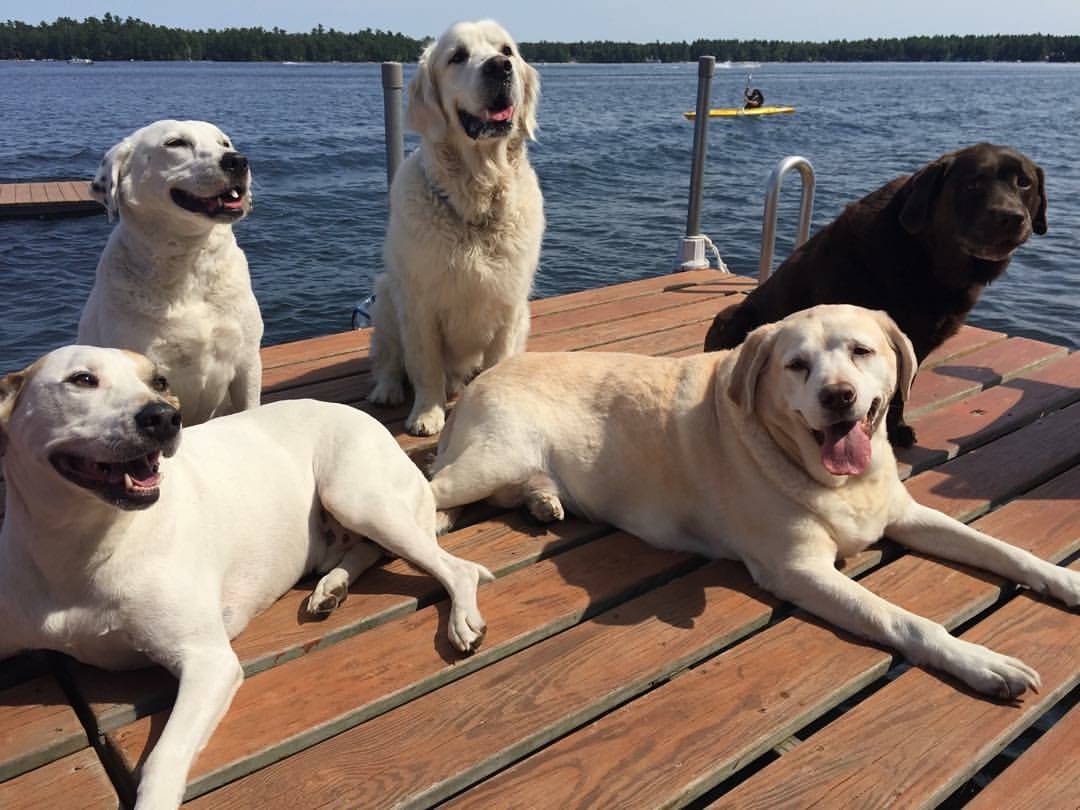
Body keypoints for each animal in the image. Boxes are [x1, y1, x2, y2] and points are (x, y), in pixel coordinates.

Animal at [1, 345, 494, 807]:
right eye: (82, 379)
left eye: (159, 381)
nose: (164, 417)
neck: (78, 542)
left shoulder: (209, 661)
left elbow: (163, 758)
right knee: (366, 550)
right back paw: (332, 587)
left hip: (356, 495)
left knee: (456, 567)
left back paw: (459, 619)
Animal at [369, 20, 544, 438]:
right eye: (457, 57)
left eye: (507, 50)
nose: (500, 67)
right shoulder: (419, 305)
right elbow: (425, 366)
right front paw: (427, 414)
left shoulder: (509, 303)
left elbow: (498, 363)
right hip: (385, 298)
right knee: (387, 356)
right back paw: (387, 389)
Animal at [429, 304, 1080, 699]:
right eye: (796, 365)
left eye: (862, 352)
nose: (839, 396)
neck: (839, 482)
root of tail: (479, 381)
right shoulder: (799, 568)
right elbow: (902, 619)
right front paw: (980, 661)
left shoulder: (907, 514)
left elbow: (1002, 548)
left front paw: (1064, 580)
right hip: (494, 456)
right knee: (428, 502)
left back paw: (545, 502)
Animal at [699, 145, 1045, 451]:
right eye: (972, 184)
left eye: (1024, 183)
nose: (1010, 216)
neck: (928, 261)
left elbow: (899, 390)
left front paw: (896, 427)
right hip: (731, 318)